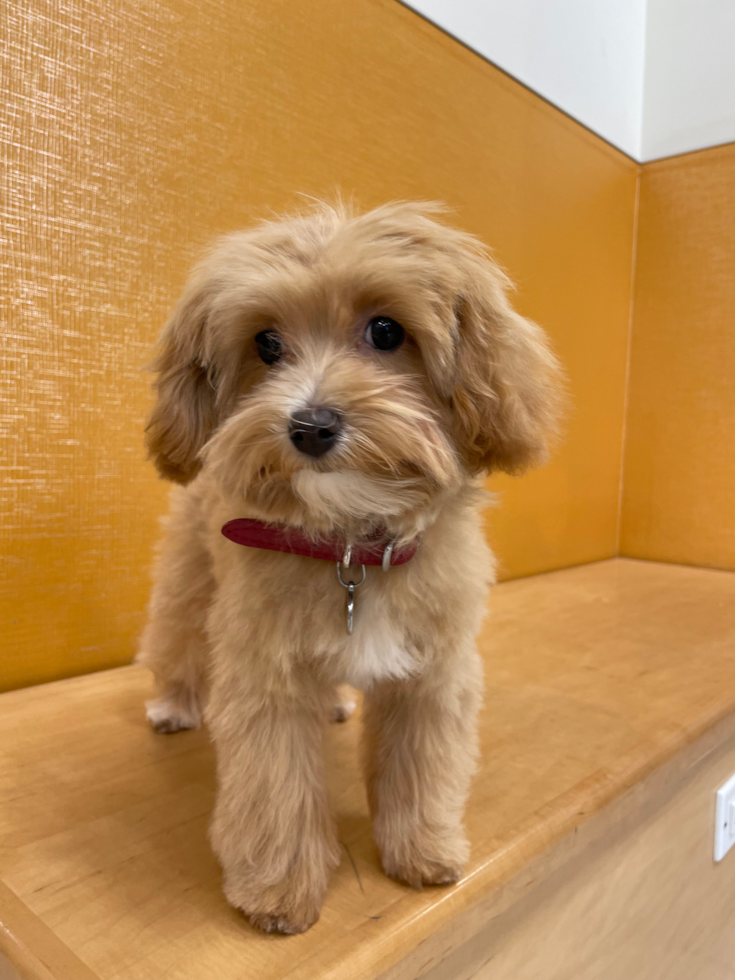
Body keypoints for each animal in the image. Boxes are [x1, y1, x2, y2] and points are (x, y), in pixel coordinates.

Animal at [138, 199, 564, 936]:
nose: (310, 426)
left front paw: (421, 848)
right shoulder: (266, 681)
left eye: (386, 331)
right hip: (188, 579)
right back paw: (173, 703)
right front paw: (278, 891)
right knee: (176, 639)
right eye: (266, 344)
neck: (349, 547)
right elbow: (275, 791)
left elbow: (421, 767)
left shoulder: (432, 675)